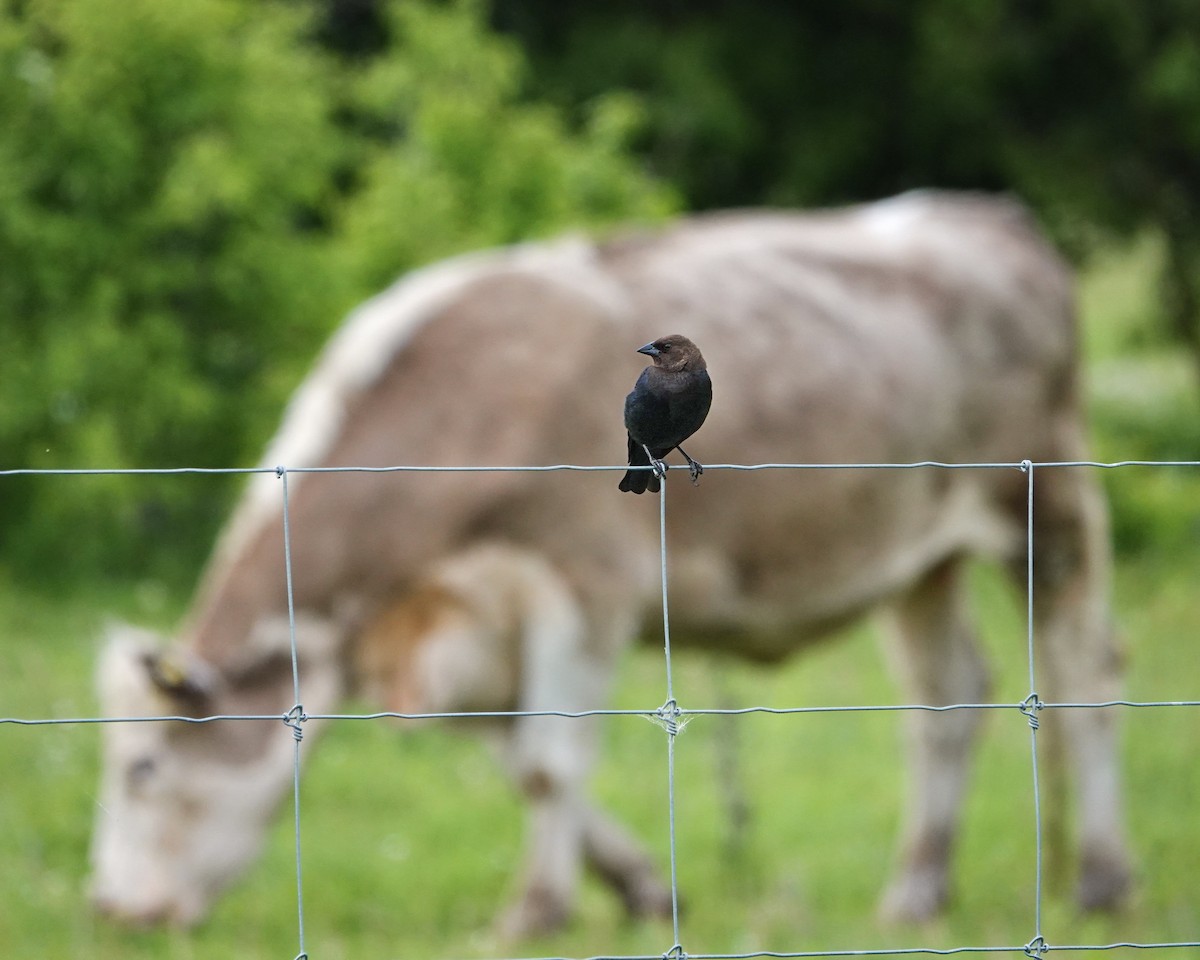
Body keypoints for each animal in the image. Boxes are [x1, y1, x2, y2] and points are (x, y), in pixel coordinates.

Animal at [88, 193, 1128, 936]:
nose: (110, 910)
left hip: (1046, 500)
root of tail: (987, 215)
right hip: (916, 553)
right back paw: (915, 892)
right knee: (947, 698)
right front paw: (641, 890)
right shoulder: (462, 639)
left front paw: (534, 914)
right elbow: (524, 760)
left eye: (142, 767)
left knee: (1086, 668)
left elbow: (550, 764)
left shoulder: (583, 586)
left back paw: (1104, 880)